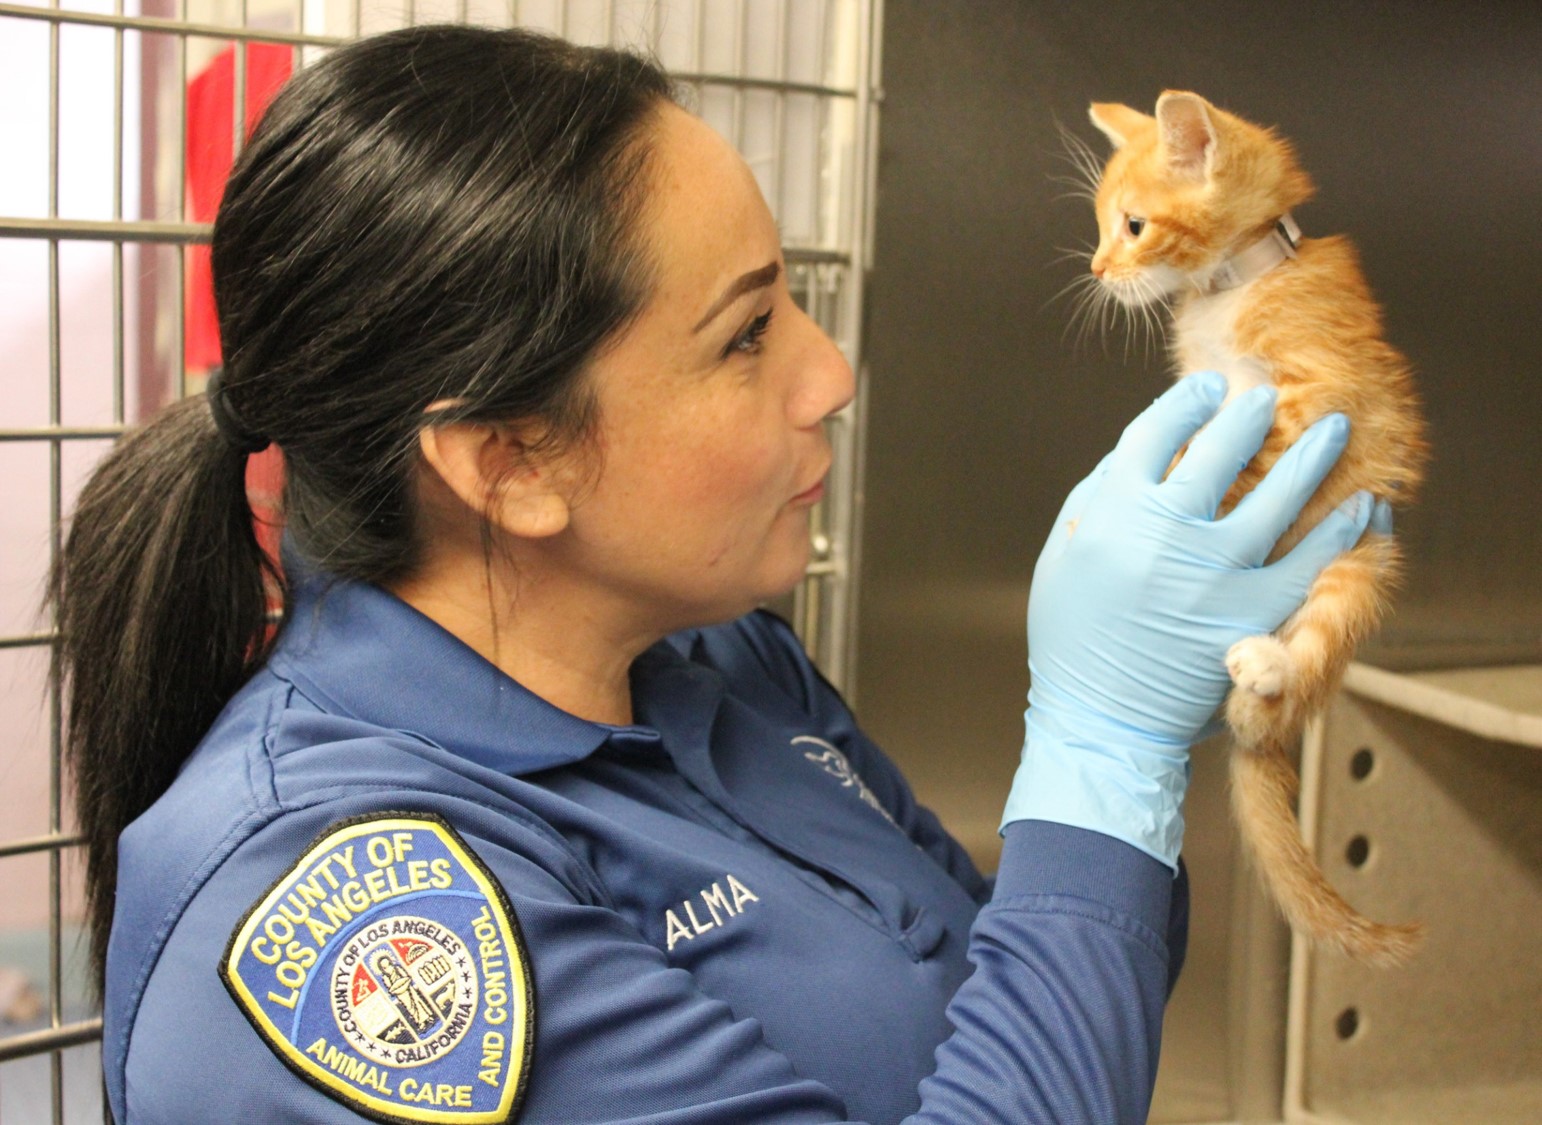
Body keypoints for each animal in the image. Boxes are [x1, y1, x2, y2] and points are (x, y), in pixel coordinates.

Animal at [1079, 89, 1424, 961]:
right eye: (1101, 225)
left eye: (1133, 226)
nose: (1096, 269)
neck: (1233, 282)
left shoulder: (1316, 394)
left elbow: (1247, 457)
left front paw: (1175, 501)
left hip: (1361, 558)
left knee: (1294, 685)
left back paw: (1265, 673)